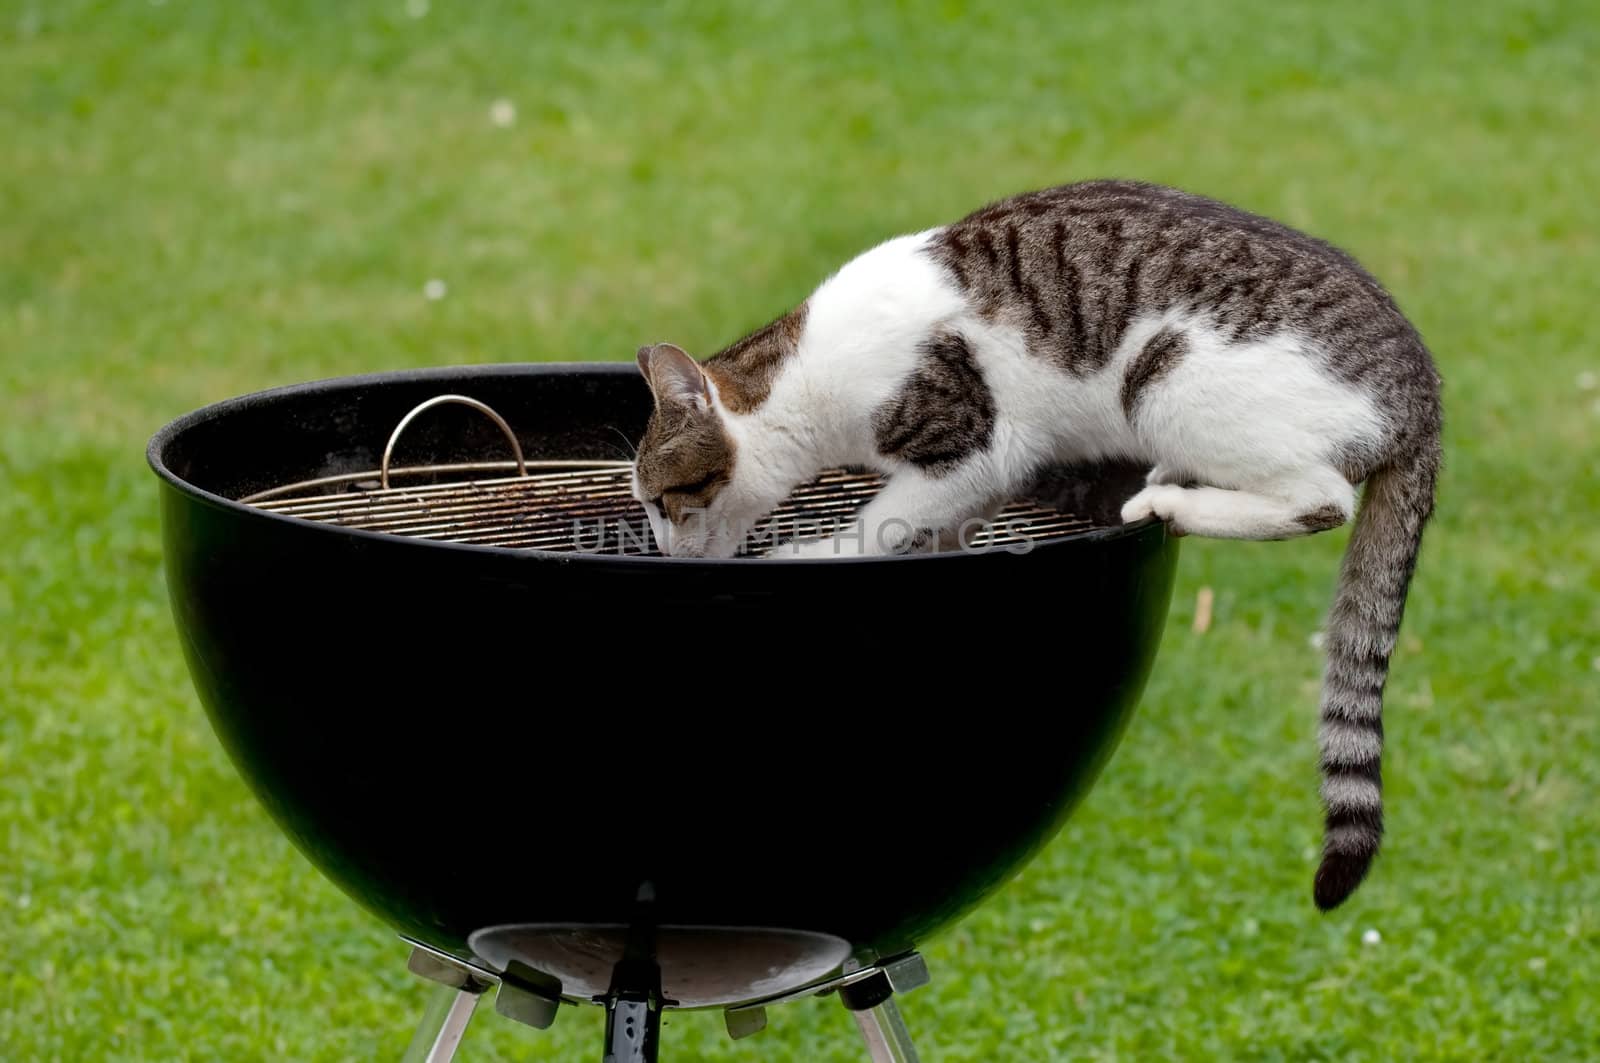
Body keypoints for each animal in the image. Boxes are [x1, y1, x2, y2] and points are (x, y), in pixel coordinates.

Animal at [630, 178, 1446, 909]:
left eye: (665, 500)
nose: (664, 554)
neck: (799, 381)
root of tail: (1423, 391)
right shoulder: (999, 471)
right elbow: (942, 524)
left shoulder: (976, 444)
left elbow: (876, 521)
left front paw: (810, 554)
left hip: (1167, 376)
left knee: (1322, 498)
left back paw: (1168, 498)